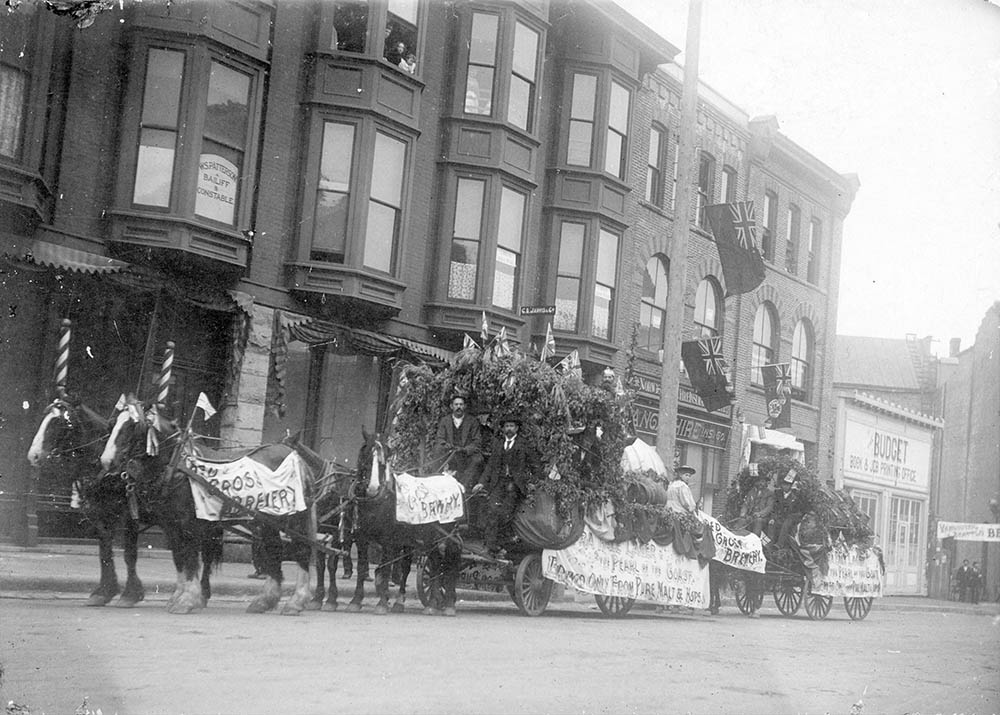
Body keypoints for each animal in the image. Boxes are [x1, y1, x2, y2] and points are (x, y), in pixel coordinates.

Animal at [97, 398, 314, 616]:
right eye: (112, 425)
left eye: (133, 426)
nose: (106, 461)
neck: (178, 466)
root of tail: (296, 457)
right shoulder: (172, 527)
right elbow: (179, 559)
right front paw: (178, 596)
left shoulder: (188, 525)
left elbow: (191, 560)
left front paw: (187, 600)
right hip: (269, 520)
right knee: (274, 550)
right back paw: (265, 600)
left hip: (294, 517)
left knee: (302, 551)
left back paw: (296, 601)